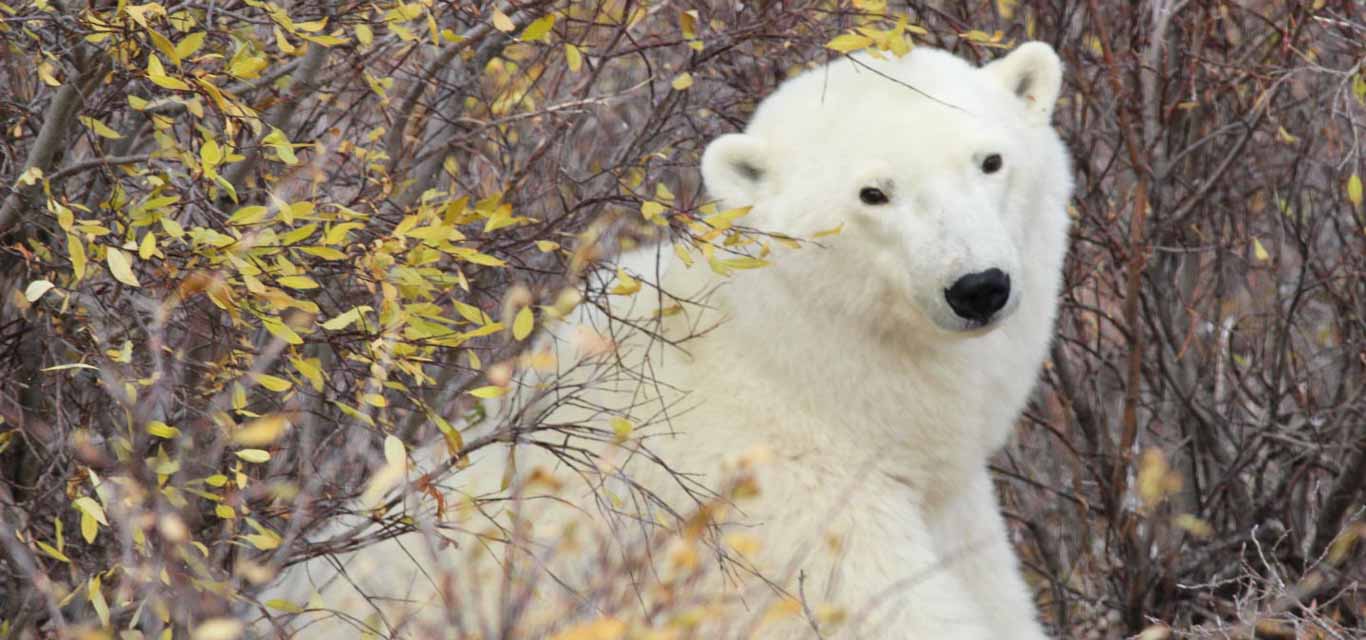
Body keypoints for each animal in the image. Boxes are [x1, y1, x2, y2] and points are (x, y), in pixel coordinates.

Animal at [257, 41, 1072, 640]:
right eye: (874, 193)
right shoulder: (781, 522)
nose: (979, 285)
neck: (806, 373)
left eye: (991, 160)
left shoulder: (950, 504)